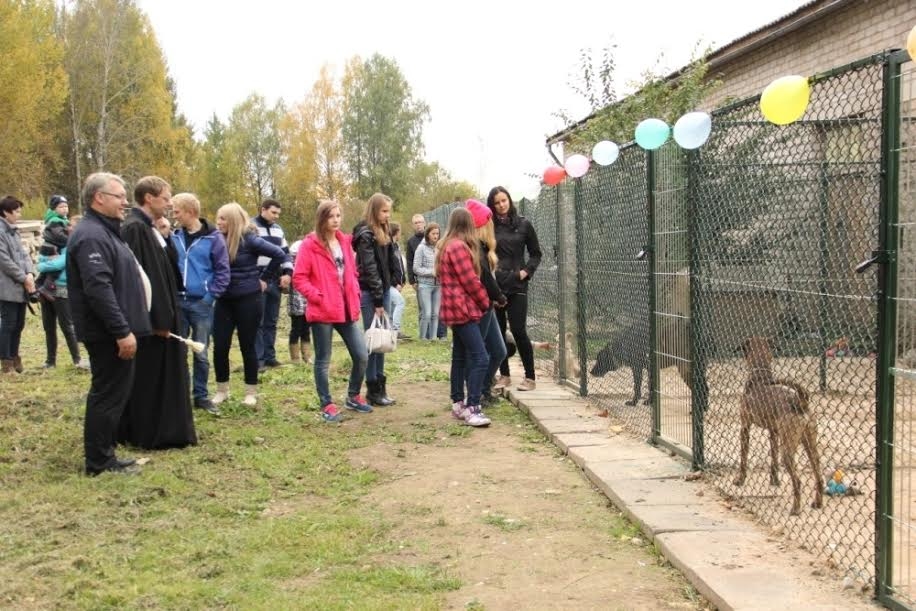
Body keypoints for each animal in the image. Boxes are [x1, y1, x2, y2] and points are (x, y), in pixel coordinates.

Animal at [732, 340, 828, 516]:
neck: (760, 375)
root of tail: (800, 402)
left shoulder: (745, 427)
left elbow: (743, 457)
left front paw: (739, 479)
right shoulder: (774, 432)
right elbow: (773, 457)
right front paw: (774, 480)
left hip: (789, 451)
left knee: (798, 481)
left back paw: (796, 508)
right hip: (810, 444)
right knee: (818, 475)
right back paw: (817, 503)